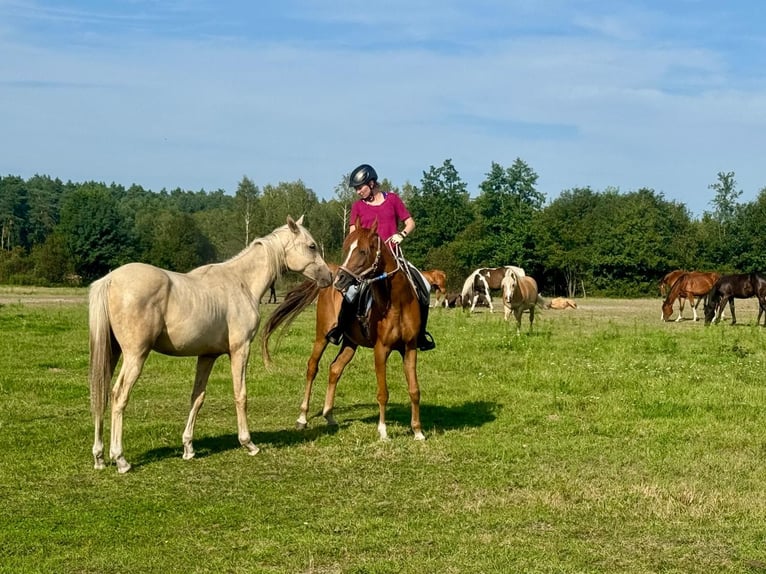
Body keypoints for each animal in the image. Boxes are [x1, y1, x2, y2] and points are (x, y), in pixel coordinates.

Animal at [88, 216, 332, 473]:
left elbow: (197, 397)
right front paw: (248, 443)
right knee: (118, 396)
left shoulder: (207, 356)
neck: (242, 283)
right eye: (312, 246)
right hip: (135, 356)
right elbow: (240, 394)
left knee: (101, 394)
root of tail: (110, 279)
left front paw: (188, 447)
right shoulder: (240, 350)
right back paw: (120, 458)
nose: (329, 277)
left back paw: (100, 457)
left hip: (112, 354)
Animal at [261, 219, 427, 441]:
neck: (397, 303)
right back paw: (302, 417)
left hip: (350, 343)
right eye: (346, 248)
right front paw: (383, 431)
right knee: (312, 368)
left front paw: (417, 431)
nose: (339, 280)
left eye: (363, 251)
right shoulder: (381, 350)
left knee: (335, 369)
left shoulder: (410, 348)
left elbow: (414, 390)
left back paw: (329, 415)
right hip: (322, 336)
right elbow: (383, 392)